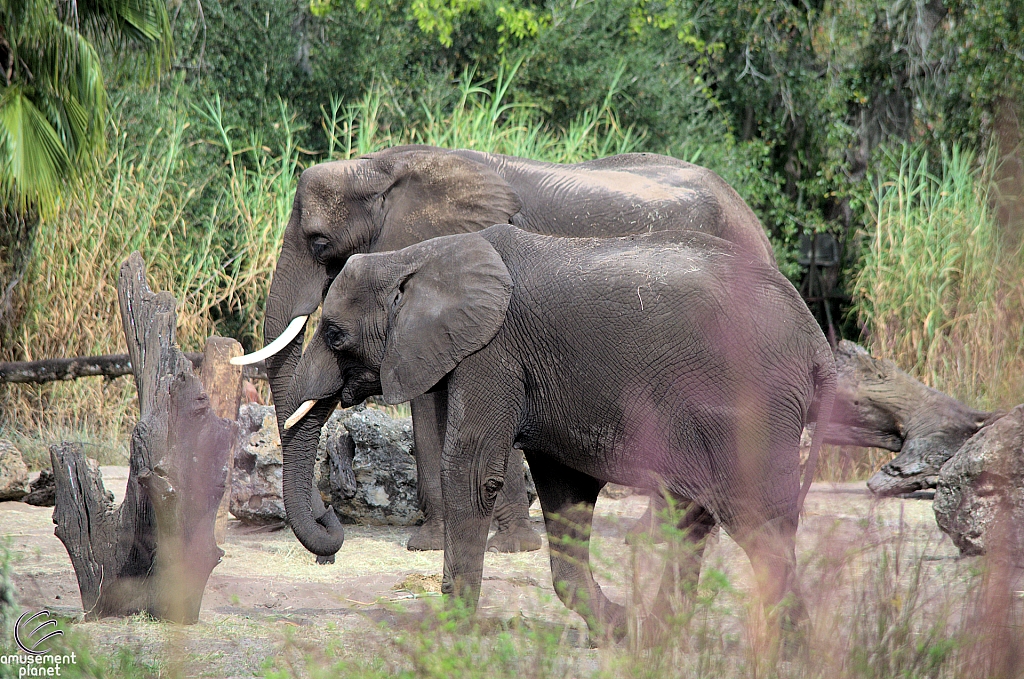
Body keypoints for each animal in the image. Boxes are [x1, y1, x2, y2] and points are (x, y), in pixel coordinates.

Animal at [284, 225, 835, 639]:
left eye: (334, 334)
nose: (330, 517)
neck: (415, 256)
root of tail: (816, 341)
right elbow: (565, 491)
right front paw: (616, 629)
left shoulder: (492, 352)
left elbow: (472, 472)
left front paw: (451, 632)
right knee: (697, 516)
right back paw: (659, 636)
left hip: (751, 405)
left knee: (755, 522)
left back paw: (791, 647)